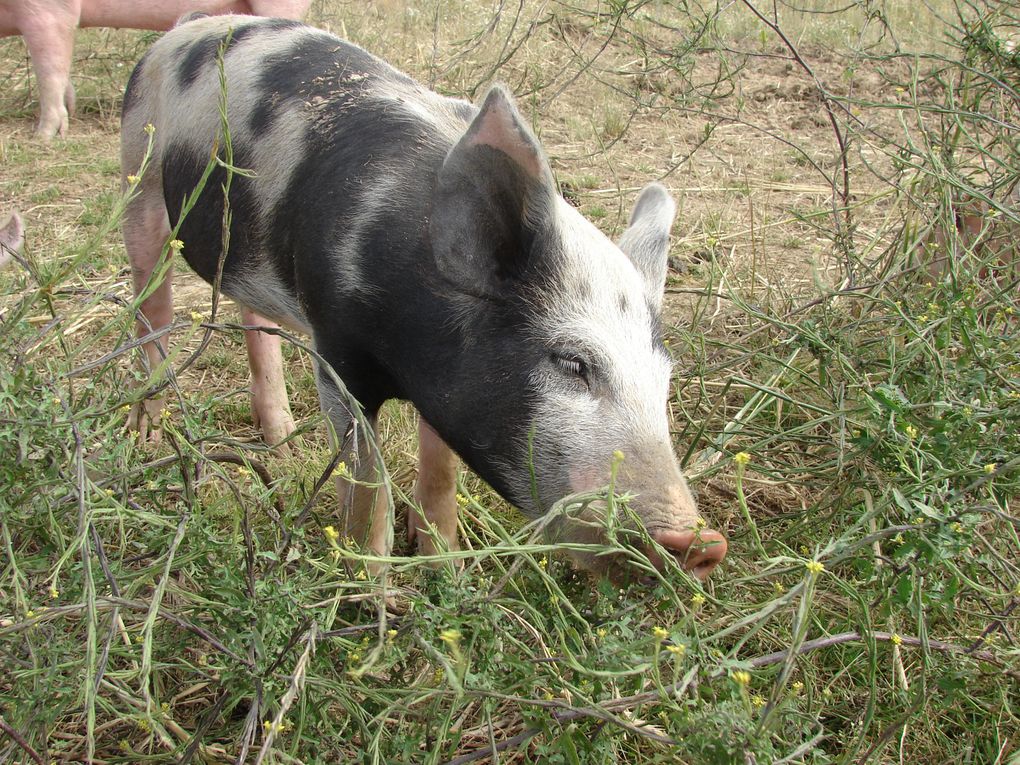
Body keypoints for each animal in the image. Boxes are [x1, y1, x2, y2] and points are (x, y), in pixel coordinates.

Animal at [119, 14, 730, 579]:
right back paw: (146, 434)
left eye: (665, 378)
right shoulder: (338, 350)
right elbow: (368, 481)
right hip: (138, 174)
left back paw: (284, 441)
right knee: (151, 307)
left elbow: (441, 470)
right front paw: (373, 590)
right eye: (572, 362)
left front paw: (445, 566)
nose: (702, 543)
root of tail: (185, 29)